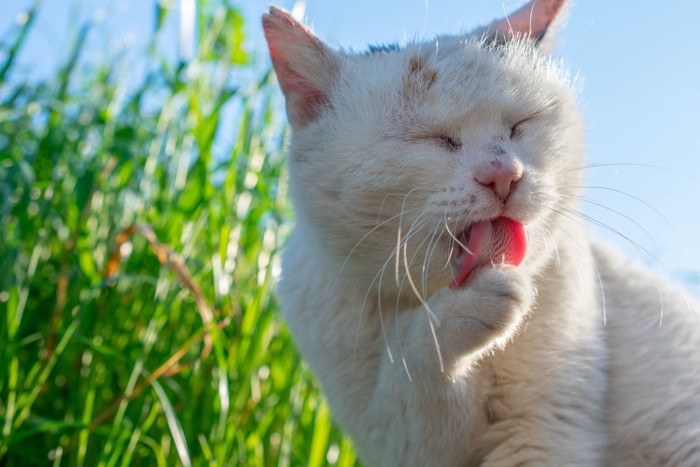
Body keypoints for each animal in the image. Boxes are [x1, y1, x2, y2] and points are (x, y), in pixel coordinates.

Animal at [262, 1, 700, 466]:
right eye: (435, 139)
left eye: (520, 125)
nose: (503, 175)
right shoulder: (394, 437)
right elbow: (412, 379)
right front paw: (467, 310)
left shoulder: (545, 428)